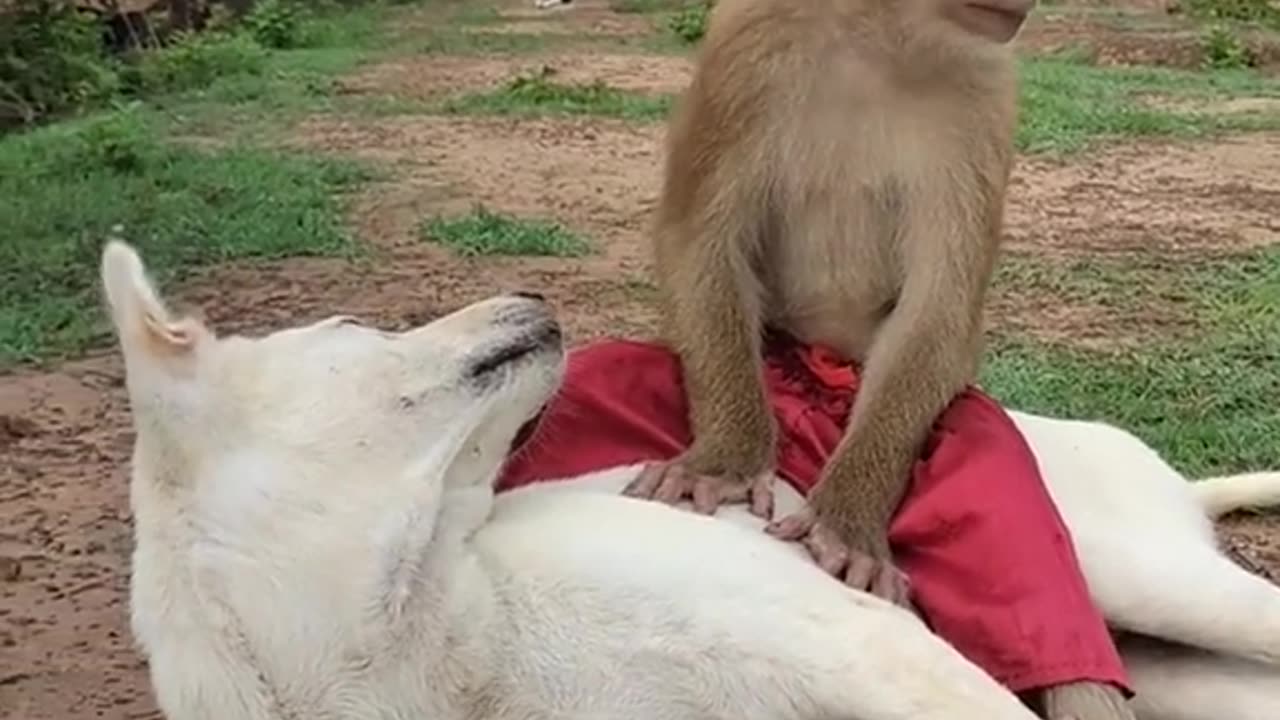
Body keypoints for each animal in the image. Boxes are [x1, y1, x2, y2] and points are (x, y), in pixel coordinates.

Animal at [622, 1, 1141, 717]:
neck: (874, 35)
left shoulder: (984, 93)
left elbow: (938, 309)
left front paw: (846, 524)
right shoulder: (746, 50)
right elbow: (698, 241)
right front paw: (724, 462)